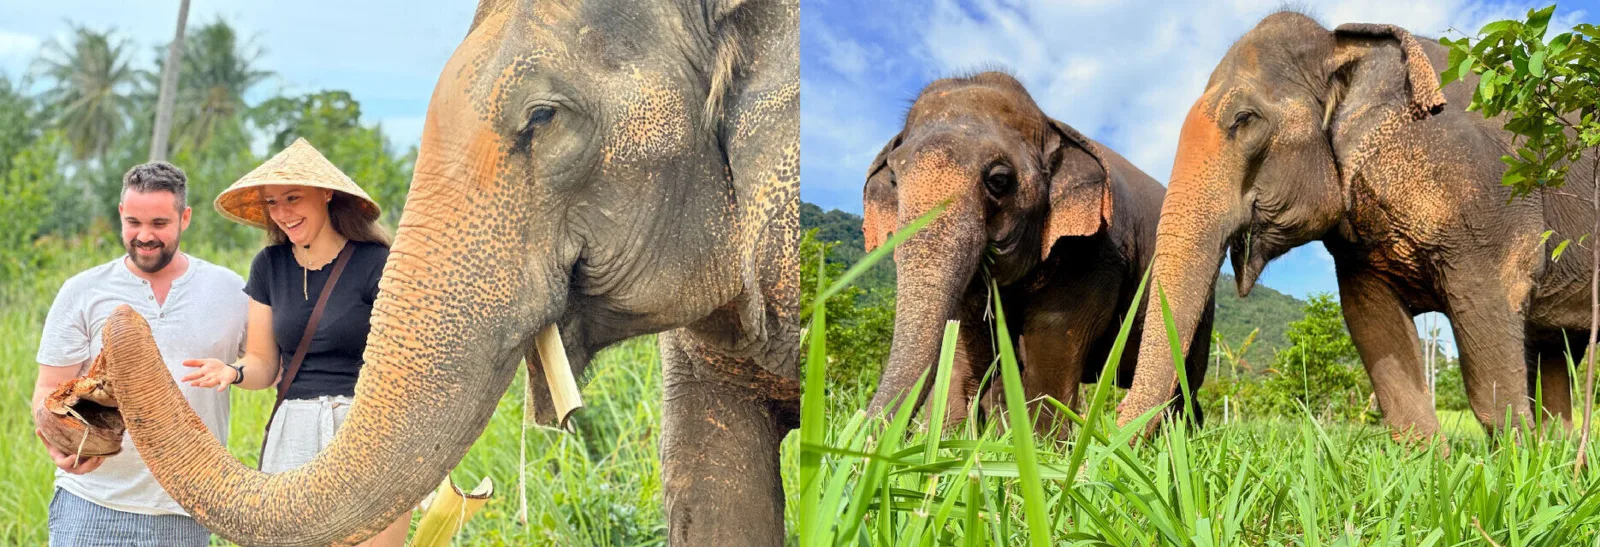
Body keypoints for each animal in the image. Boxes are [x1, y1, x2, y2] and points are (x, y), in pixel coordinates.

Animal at [861, 71, 1212, 434]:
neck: (1049, 124)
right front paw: (947, 438)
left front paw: (1042, 444)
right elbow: (966, 343)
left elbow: (1052, 336)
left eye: (999, 179)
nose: (866, 433)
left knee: (1186, 382)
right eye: (893, 180)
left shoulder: (1093, 250)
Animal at [1116, 11, 1596, 440]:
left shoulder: (1485, 193)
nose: (1117, 426)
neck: (1338, 43)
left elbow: (1492, 315)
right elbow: (1373, 324)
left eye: (1244, 119)